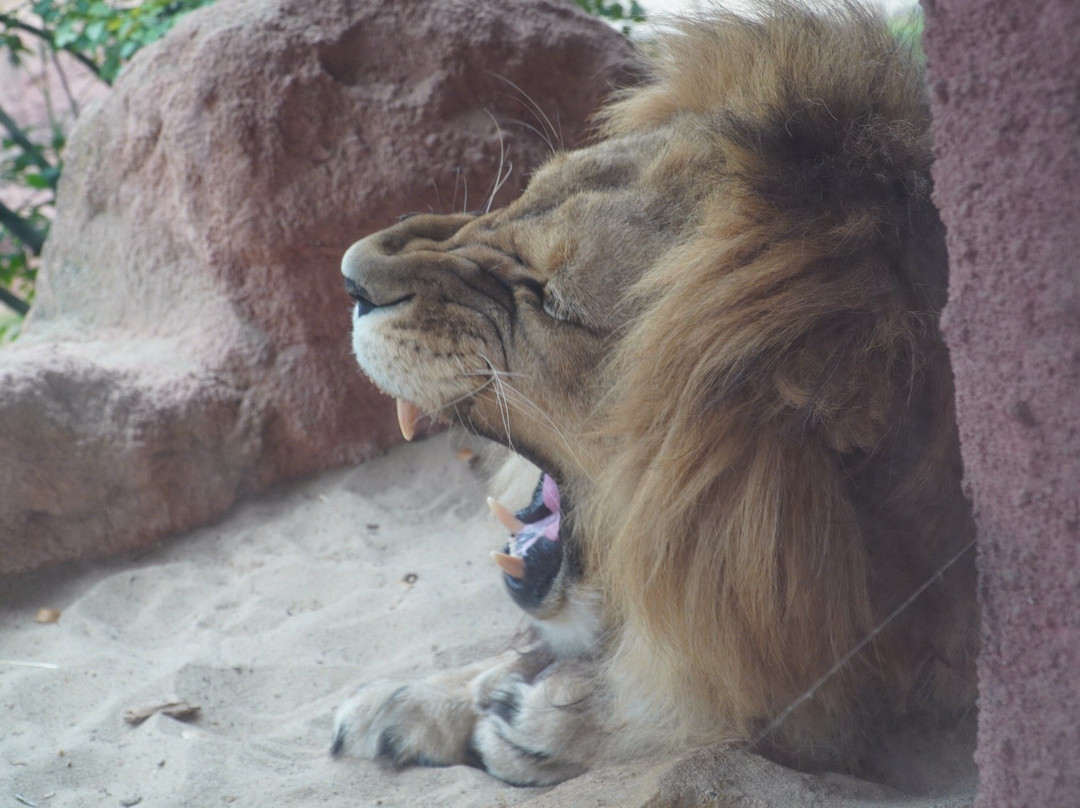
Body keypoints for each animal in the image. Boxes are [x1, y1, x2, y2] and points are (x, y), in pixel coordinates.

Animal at [328, 0, 980, 790]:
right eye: (522, 198)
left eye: (552, 301)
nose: (350, 276)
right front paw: (410, 699)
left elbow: (731, 707)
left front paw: (545, 723)